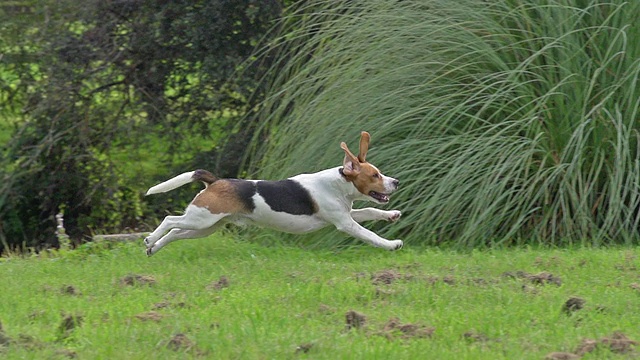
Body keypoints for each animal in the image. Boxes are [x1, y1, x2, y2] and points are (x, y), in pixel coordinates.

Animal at [144, 132, 402, 256]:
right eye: (375, 175)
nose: (397, 182)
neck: (337, 184)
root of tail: (215, 181)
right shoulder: (344, 223)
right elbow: (369, 235)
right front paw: (391, 244)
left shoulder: (346, 214)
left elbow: (369, 209)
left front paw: (391, 215)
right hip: (201, 219)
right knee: (170, 220)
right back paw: (150, 239)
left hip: (206, 226)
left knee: (175, 233)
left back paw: (154, 248)